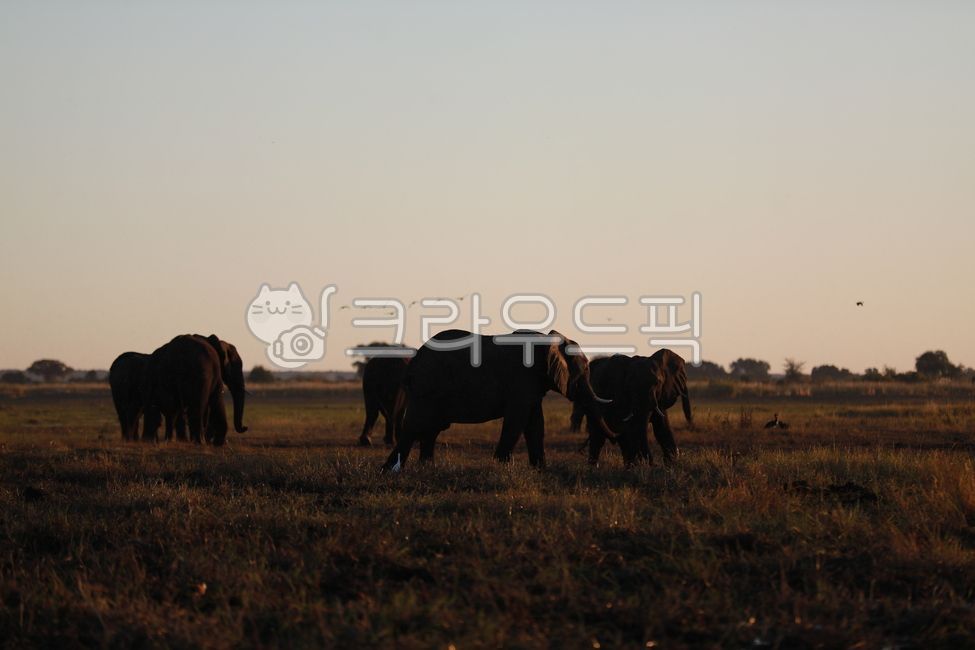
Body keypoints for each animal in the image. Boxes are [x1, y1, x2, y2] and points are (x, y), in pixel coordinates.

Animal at [380, 329, 617, 472]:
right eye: (583, 372)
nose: (616, 438)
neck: (548, 341)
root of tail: (414, 361)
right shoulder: (522, 380)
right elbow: (517, 420)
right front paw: (501, 466)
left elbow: (535, 424)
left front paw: (540, 470)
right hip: (427, 387)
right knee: (415, 426)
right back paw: (389, 471)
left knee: (431, 429)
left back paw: (426, 468)